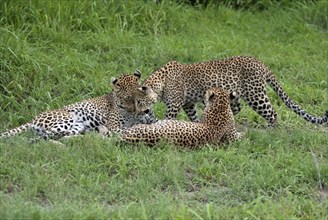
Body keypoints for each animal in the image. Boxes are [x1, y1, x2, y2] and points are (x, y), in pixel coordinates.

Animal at [0, 70, 158, 139]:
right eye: (127, 98)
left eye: (140, 95)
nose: (138, 111)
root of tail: (33, 118)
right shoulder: (115, 126)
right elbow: (125, 129)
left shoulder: (151, 119)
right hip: (65, 120)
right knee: (42, 137)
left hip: (77, 126)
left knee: (60, 135)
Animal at [142, 55, 326, 126]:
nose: (143, 112)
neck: (160, 83)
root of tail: (261, 63)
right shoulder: (188, 103)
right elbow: (193, 116)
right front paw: (199, 125)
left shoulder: (175, 104)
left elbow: (168, 117)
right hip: (236, 94)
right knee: (237, 108)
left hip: (255, 95)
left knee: (272, 113)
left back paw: (271, 129)